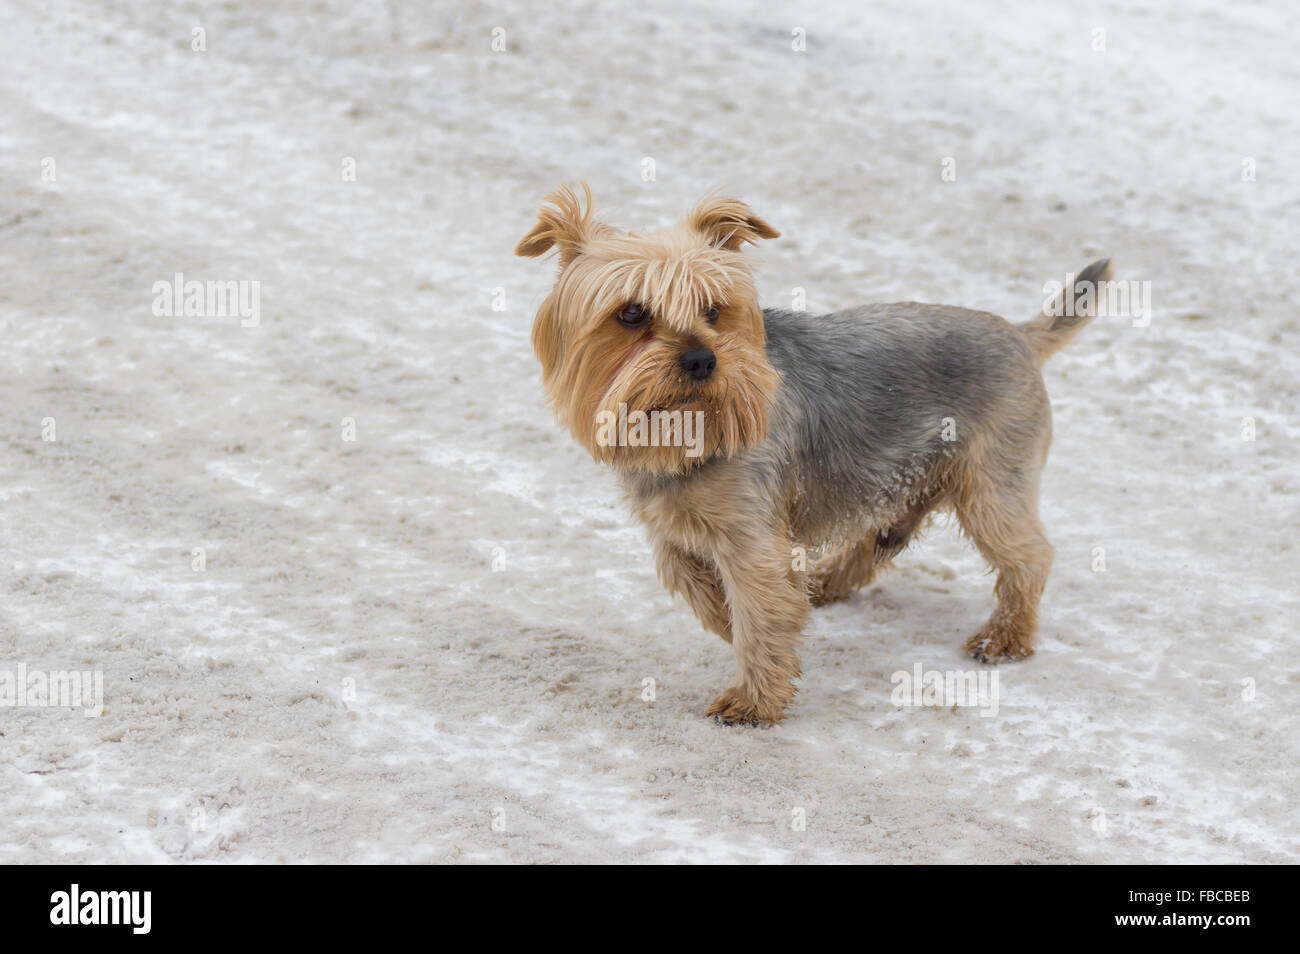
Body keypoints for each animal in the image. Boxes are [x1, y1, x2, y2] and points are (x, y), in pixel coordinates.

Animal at [512, 184, 1112, 722]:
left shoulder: (751, 538)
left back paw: (1006, 636)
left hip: (992, 478)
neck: (687, 431)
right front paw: (750, 627)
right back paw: (825, 583)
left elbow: (759, 609)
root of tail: (1018, 334)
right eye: (633, 313)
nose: (703, 360)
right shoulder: (675, 529)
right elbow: (699, 586)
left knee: (1028, 553)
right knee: (885, 537)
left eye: (714, 310)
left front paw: (755, 698)